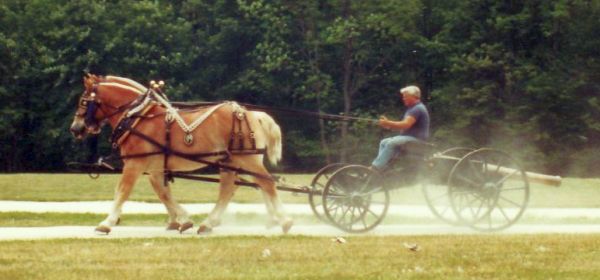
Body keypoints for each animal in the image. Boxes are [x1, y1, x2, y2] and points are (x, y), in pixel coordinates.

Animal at [70, 74, 292, 234]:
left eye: (83, 101)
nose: (75, 128)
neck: (138, 118)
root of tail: (254, 114)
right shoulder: (156, 168)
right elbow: (163, 193)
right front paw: (182, 220)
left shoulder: (135, 165)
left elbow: (122, 191)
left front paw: (107, 222)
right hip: (230, 161)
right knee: (230, 189)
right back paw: (209, 223)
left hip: (245, 158)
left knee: (266, 183)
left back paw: (284, 220)